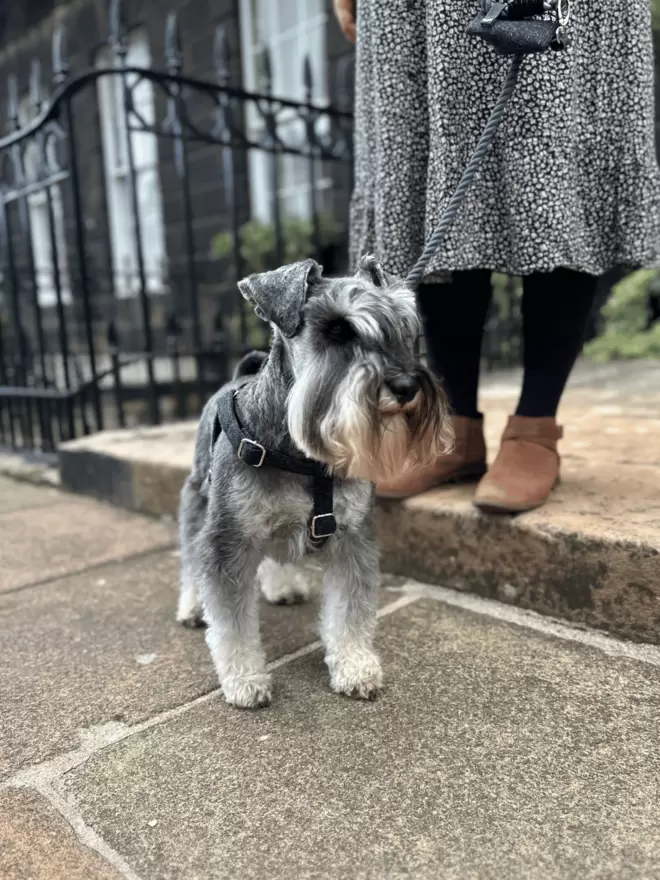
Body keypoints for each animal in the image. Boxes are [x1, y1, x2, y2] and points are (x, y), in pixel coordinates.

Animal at [178, 254, 452, 708]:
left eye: (403, 326)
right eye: (336, 329)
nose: (406, 386)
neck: (303, 456)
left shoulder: (352, 539)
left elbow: (349, 610)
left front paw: (354, 666)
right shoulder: (228, 539)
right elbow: (232, 621)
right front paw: (245, 679)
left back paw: (283, 586)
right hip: (198, 498)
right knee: (189, 556)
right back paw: (191, 606)